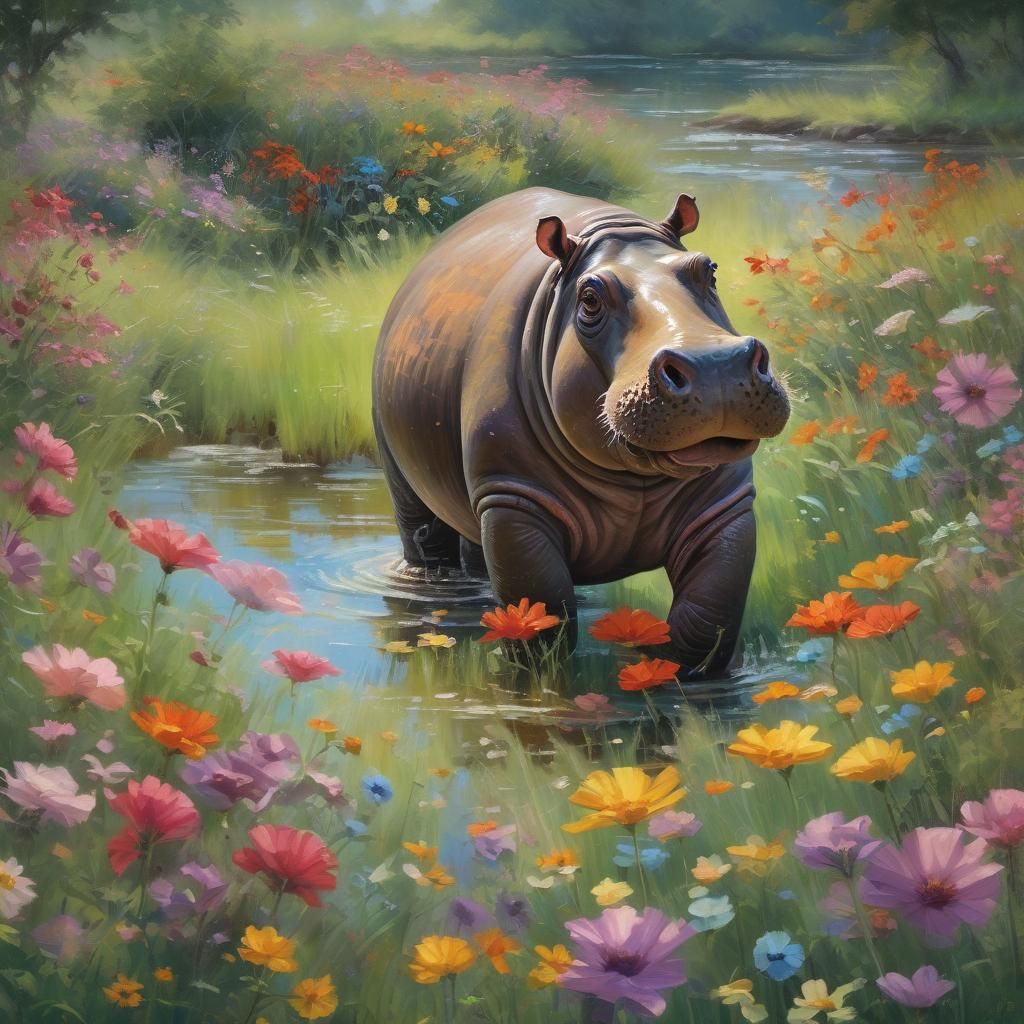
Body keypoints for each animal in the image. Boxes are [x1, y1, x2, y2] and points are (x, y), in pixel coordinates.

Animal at [372, 188, 790, 675]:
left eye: (710, 270)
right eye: (589, 298)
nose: (715, 367)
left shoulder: (726, 508)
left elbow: (705, 623)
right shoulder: (515, 498)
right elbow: (543, 619)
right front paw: (542, 685)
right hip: (401, 464)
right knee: (424, 537)